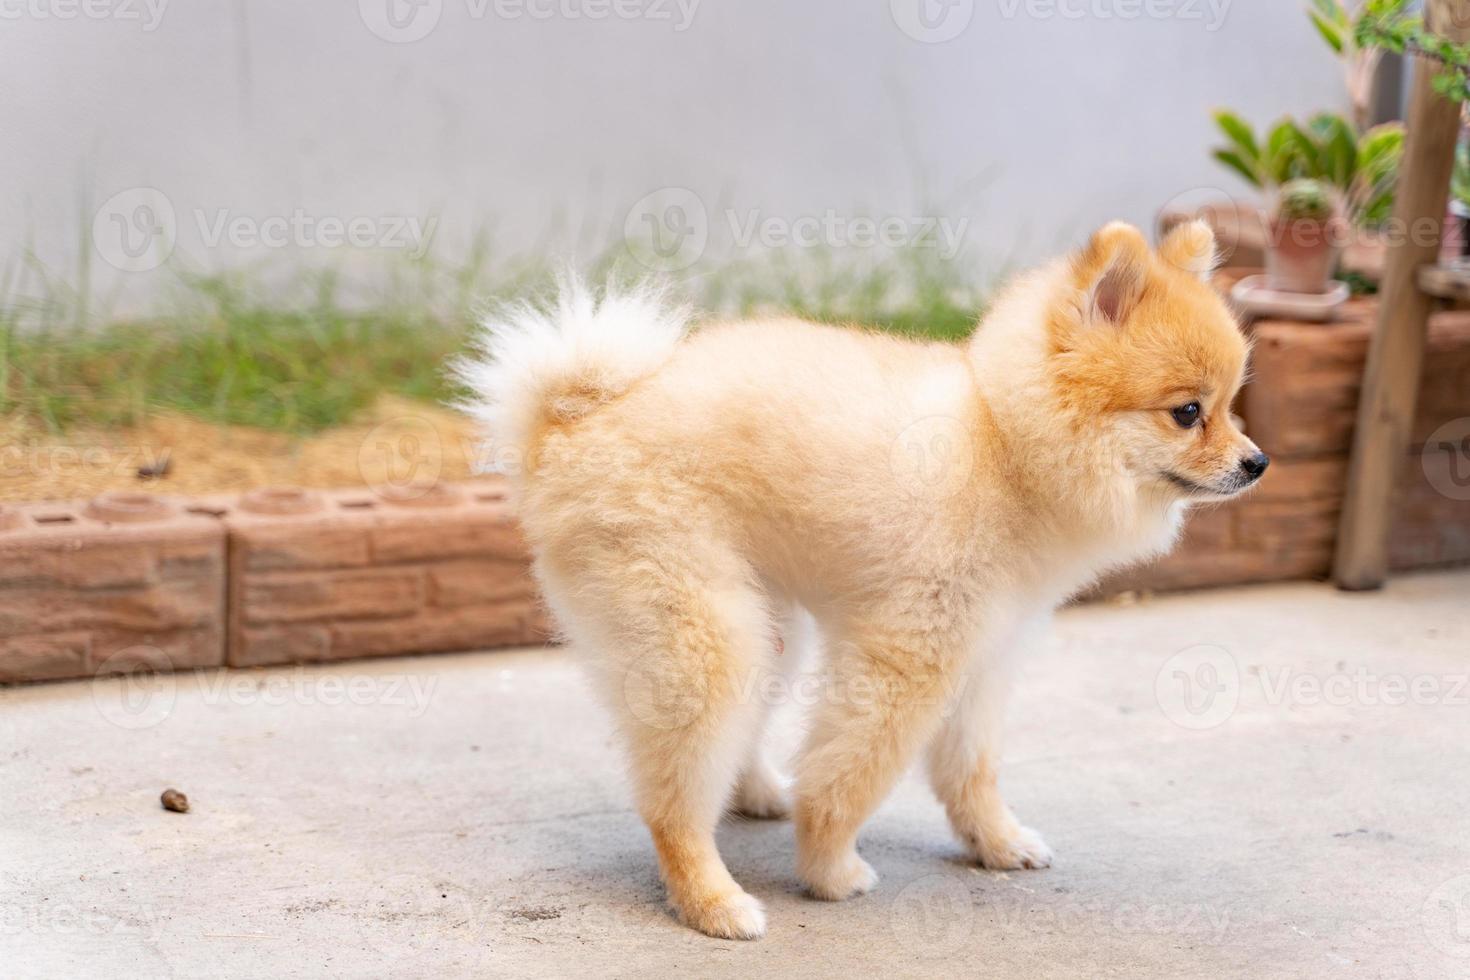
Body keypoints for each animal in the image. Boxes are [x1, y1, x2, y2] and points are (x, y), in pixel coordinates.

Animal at [455, 218, 1264, 940]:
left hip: (767, 620)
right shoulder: (911, 652)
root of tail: (571, 420)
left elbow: (970, 769)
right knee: (672, 797)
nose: (1257, 462)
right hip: (704, 631)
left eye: (1232, 406)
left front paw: (995, 842)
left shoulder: (983, 653)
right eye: (1187, 412)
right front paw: (828, 868)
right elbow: (853, 774)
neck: (1003, 446)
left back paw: (755, 793)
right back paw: (713, 900)